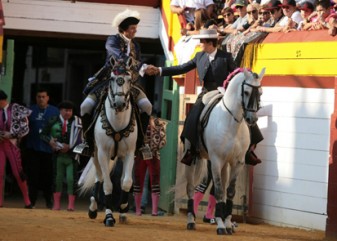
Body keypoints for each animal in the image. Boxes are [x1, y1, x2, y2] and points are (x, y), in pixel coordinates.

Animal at [79, 57, 137, 227]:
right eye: (112, 78)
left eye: (129, 79)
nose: (119, 104)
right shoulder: (103, 153)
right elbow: (108, 184)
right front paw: (109, 216)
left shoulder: (130, 153)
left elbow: (126, 182)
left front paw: (123, 208)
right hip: (95, 153)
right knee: (99, 177)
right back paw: (92, 209)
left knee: (120, 179)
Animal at [184, 67, 266, 233]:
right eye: (246, 92)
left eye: (260, 93)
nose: (252, 119)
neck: (231, 123)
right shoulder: (216, 161)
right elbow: (219, 191)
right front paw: (221, 226)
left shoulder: (237, 163)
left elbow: (229, 191)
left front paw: (227, 223)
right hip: (192, 160)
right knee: (190, 188)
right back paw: (191, 220)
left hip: (224, 165)